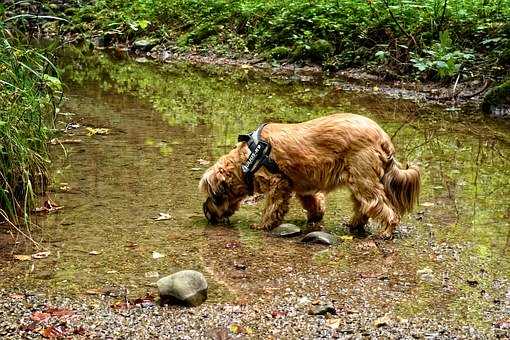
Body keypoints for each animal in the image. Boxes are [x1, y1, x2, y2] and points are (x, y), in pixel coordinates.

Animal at [198, 113, 418, 238]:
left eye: (213, 196)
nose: (206, 212)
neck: (248, 160)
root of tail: (383, 137)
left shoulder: (278, 183)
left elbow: (271, 207)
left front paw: (262, 225)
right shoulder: (302, 186)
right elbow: (313, 202)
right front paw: (315, 216)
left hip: (363, 180)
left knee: (382, 207)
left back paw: (386, 231)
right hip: (358, 181)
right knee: (364, 206)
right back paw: (355, 224)